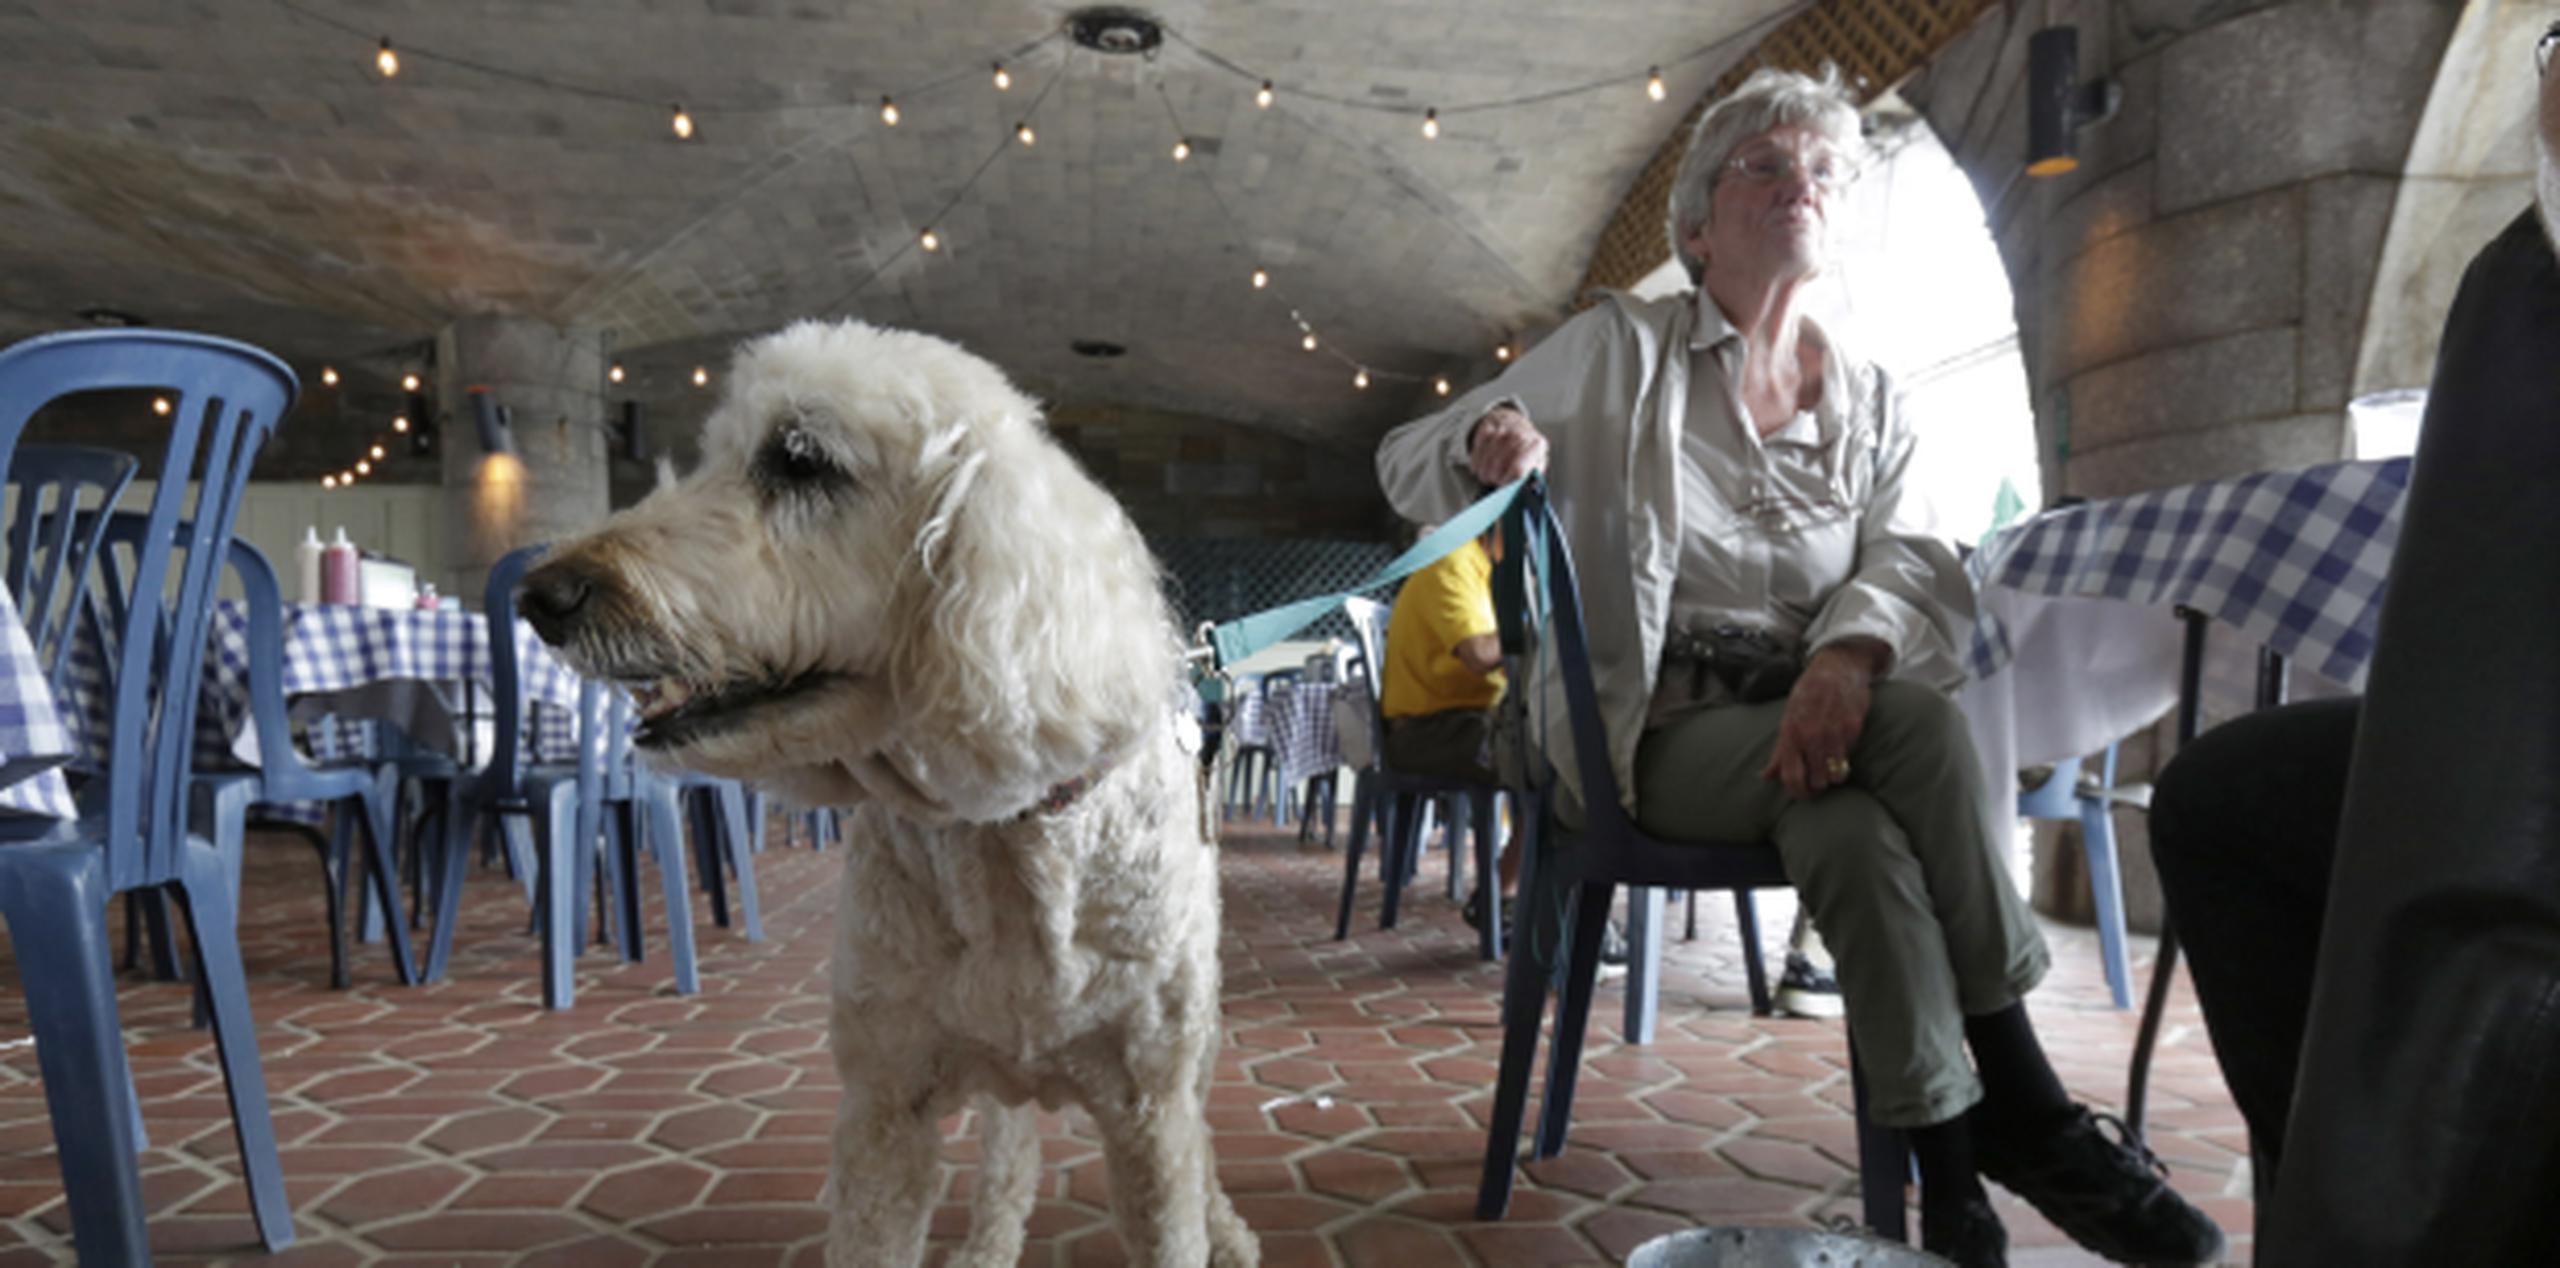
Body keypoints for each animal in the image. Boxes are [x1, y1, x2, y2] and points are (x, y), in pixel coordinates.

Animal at [519, 322, 1259, 1265]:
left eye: (801, 460)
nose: (539, 594)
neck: (998, 843)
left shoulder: (1148, 1112)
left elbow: (1177, 1192)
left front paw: (1215, 1229)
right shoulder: (883, 1106)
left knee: (1196, 1136)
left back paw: (1227, 1229)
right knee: (1011, 1147)